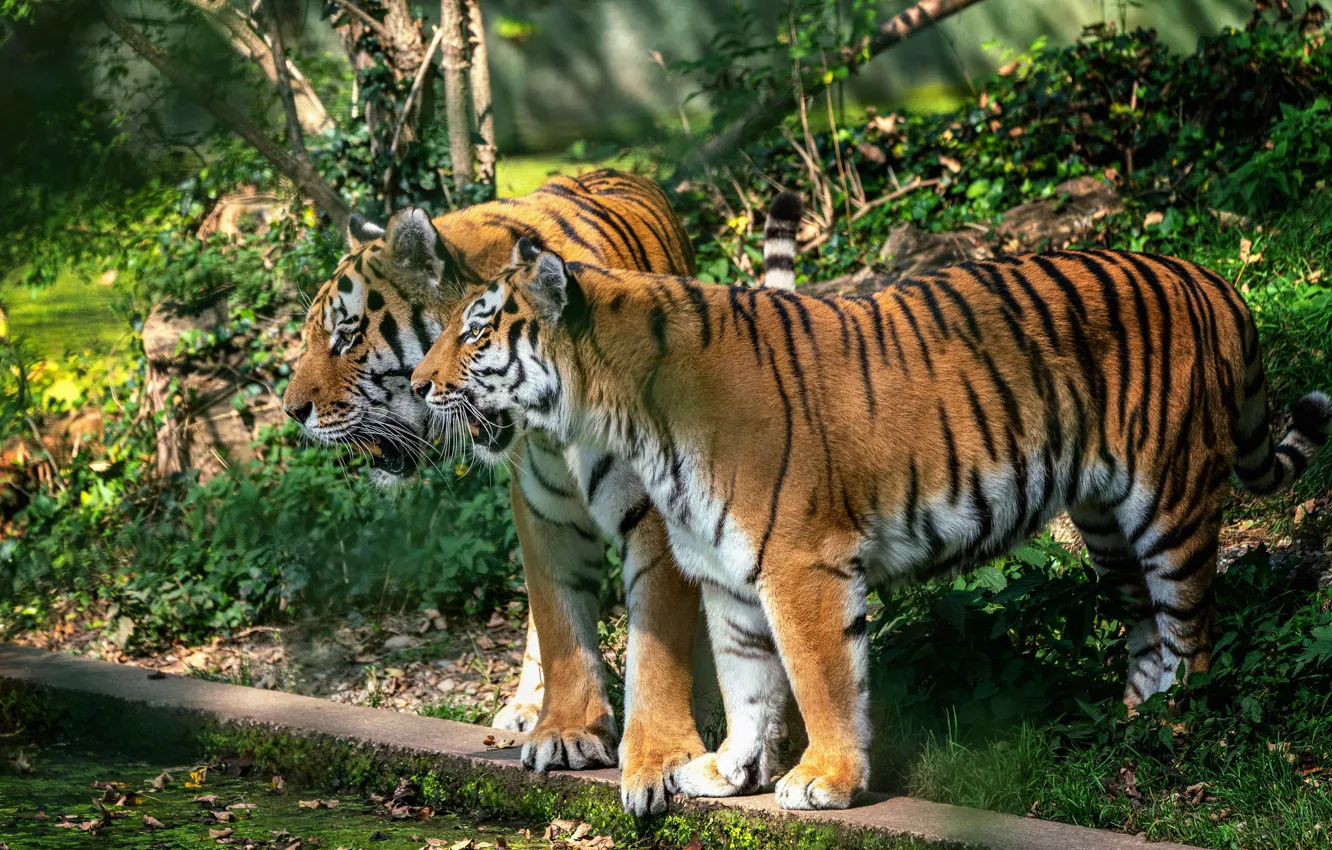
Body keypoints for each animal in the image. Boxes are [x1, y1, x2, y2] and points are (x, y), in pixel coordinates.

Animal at [280, 170, 714, 813]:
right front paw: (568, 732)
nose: (291, 411)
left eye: (347, 338)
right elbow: (558, 621)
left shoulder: (656, 510)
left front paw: (661, 759)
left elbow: (657, 646)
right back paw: (528, 706)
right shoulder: (541, 505)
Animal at [408, 190, 1332, 811]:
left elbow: (820, 679)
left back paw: (1182, 729)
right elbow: (746, 679)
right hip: (1105, 523)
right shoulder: (726, 572)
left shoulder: (801, 564)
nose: (417, 385)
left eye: (478, 331)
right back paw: (1135, 721)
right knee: (1144, 626)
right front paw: (729, 770)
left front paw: (825, 781)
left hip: (1169, 506)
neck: (627, 415)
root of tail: (1209, 277)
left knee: (1193, 630)